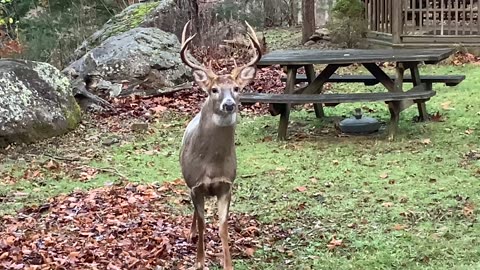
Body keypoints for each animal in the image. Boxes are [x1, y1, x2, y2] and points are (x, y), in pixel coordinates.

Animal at [179, 20, 262, 268]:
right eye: (214, 90)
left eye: (237, 88)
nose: (229, 104)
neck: (211, 164)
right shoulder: (196, 185)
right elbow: (204, 223)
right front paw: (199, 261)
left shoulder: (226, 185)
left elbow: (222, 226)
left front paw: (228, 263)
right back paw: (191, 233)